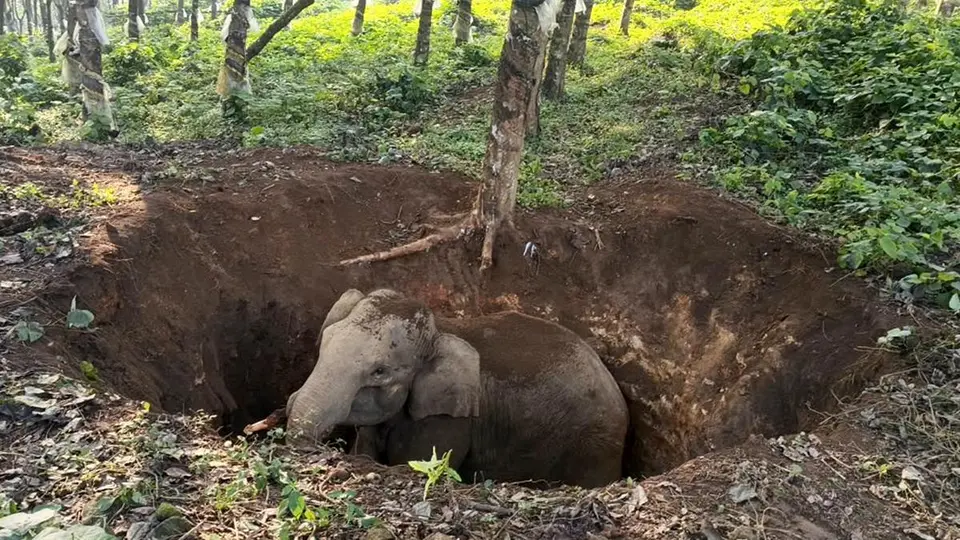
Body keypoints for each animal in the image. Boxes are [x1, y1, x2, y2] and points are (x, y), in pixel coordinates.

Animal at [280, 288, 629, 488]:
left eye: (379, 372)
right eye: (324, 342)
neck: (441, 330)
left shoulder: (448, 421)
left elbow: (418, 460)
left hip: (594, 447)